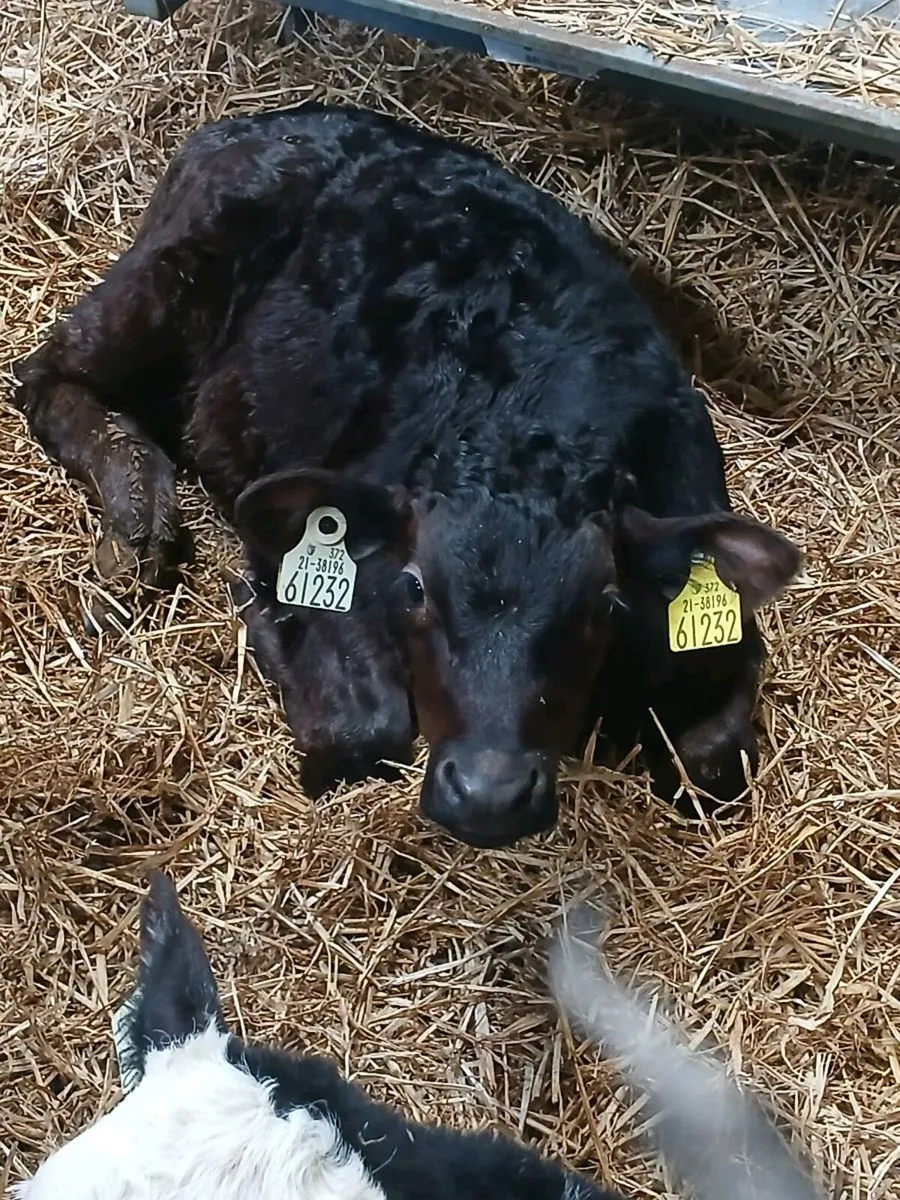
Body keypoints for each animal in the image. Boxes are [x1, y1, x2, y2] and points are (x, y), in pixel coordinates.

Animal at [12, 105, 802, 848]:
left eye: (605, 605)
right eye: (416, 587)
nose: (487, 794)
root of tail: (256, 120)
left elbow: (711, 763)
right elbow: (368, 728)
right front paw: (262, 613)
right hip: (170, 272)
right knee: (46, 376)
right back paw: (138, 520)